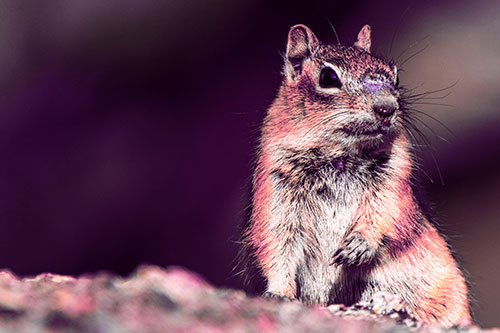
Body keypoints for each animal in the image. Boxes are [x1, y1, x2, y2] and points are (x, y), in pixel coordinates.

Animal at [244, 24, 470, 326]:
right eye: (328, 77)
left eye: (395, 75)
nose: (387, 108)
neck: (339, 156)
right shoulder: (275, 188)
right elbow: (276, 243)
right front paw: (279, 293)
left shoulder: (394, 181)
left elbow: (389, 214)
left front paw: (359, 245)